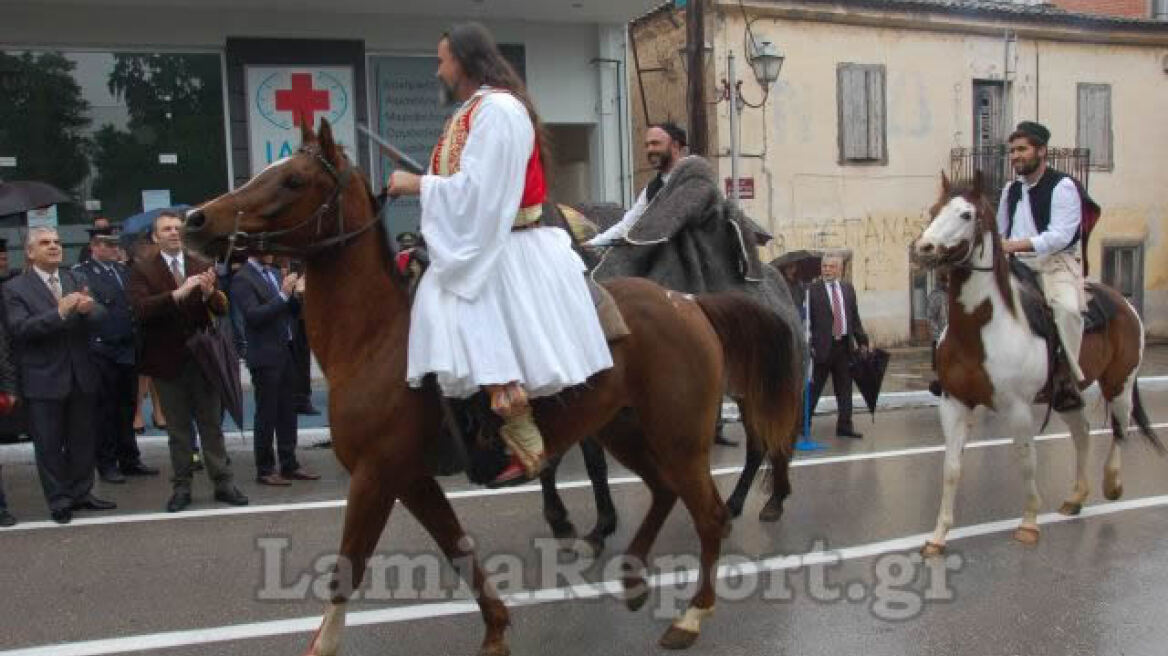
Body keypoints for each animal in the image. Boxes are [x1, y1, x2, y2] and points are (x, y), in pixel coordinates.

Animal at [182, 118, 803, 653]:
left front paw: (325, 643)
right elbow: (458, 549)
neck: (376, 339)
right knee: (664, 490)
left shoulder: (375, 475)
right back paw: (630, 574)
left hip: (680, 437)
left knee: (714, 508)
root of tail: (690, 302)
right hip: (626, 430)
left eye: (293, 179)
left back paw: (693, 611)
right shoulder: (410, 478)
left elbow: (349, 566)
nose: (194, 220)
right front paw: (498, 628)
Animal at [911, 171, 1158, 553]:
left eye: (966, 214)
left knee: (1120, 429)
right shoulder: (954, 403)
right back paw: (1075, 497)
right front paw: (938, 536)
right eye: (934, 209)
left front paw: (1029, 522)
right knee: (1083, 436)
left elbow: (1026, 461)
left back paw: (1112, 485)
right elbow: (951, 467)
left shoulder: (1018, 408)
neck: (981, 328)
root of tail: (1123, 301)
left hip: (1120, 384)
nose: (923, 249)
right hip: (1070, 397)